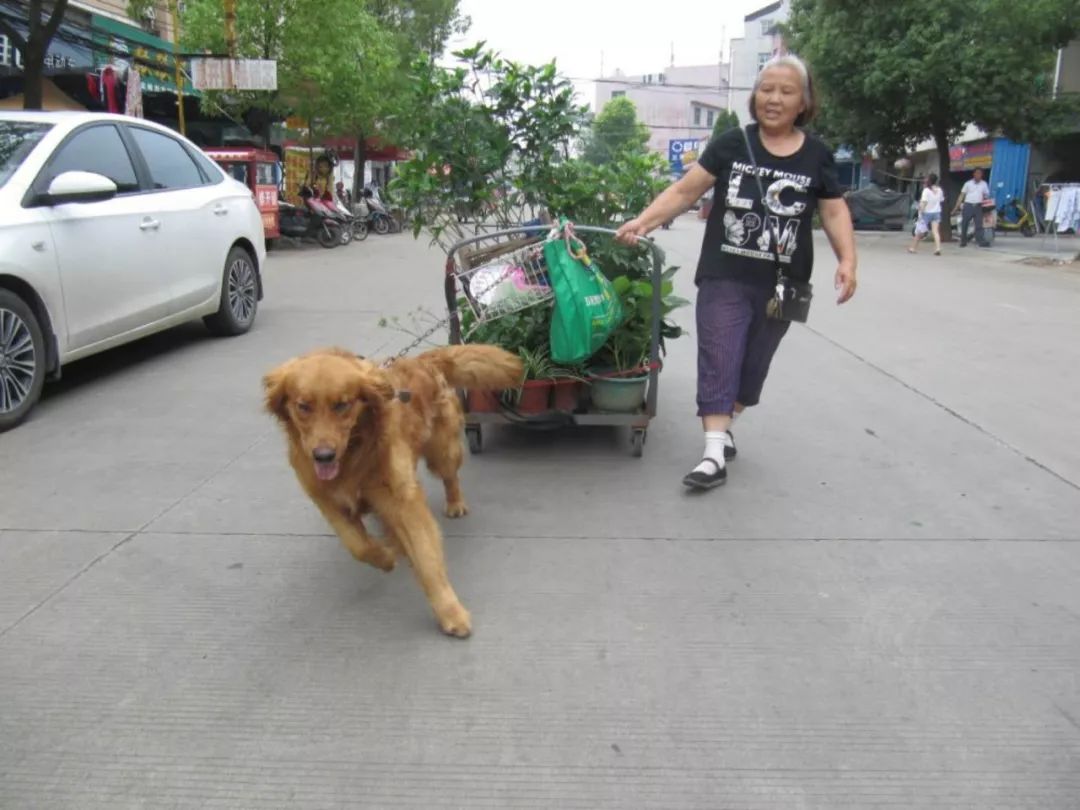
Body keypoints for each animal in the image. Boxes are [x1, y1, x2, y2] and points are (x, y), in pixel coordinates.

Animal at [265, 345, 527, 639]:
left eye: (342, 405)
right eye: (303, 406)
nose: (323, 456)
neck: (354, 455)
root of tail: (421, 359)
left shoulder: (404, 502)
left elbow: (426, 559)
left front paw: (450, 611)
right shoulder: (328, 502)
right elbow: (358, 545)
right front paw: (385, 559)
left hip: (442, 452)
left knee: (450, 476)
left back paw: (455, 503)